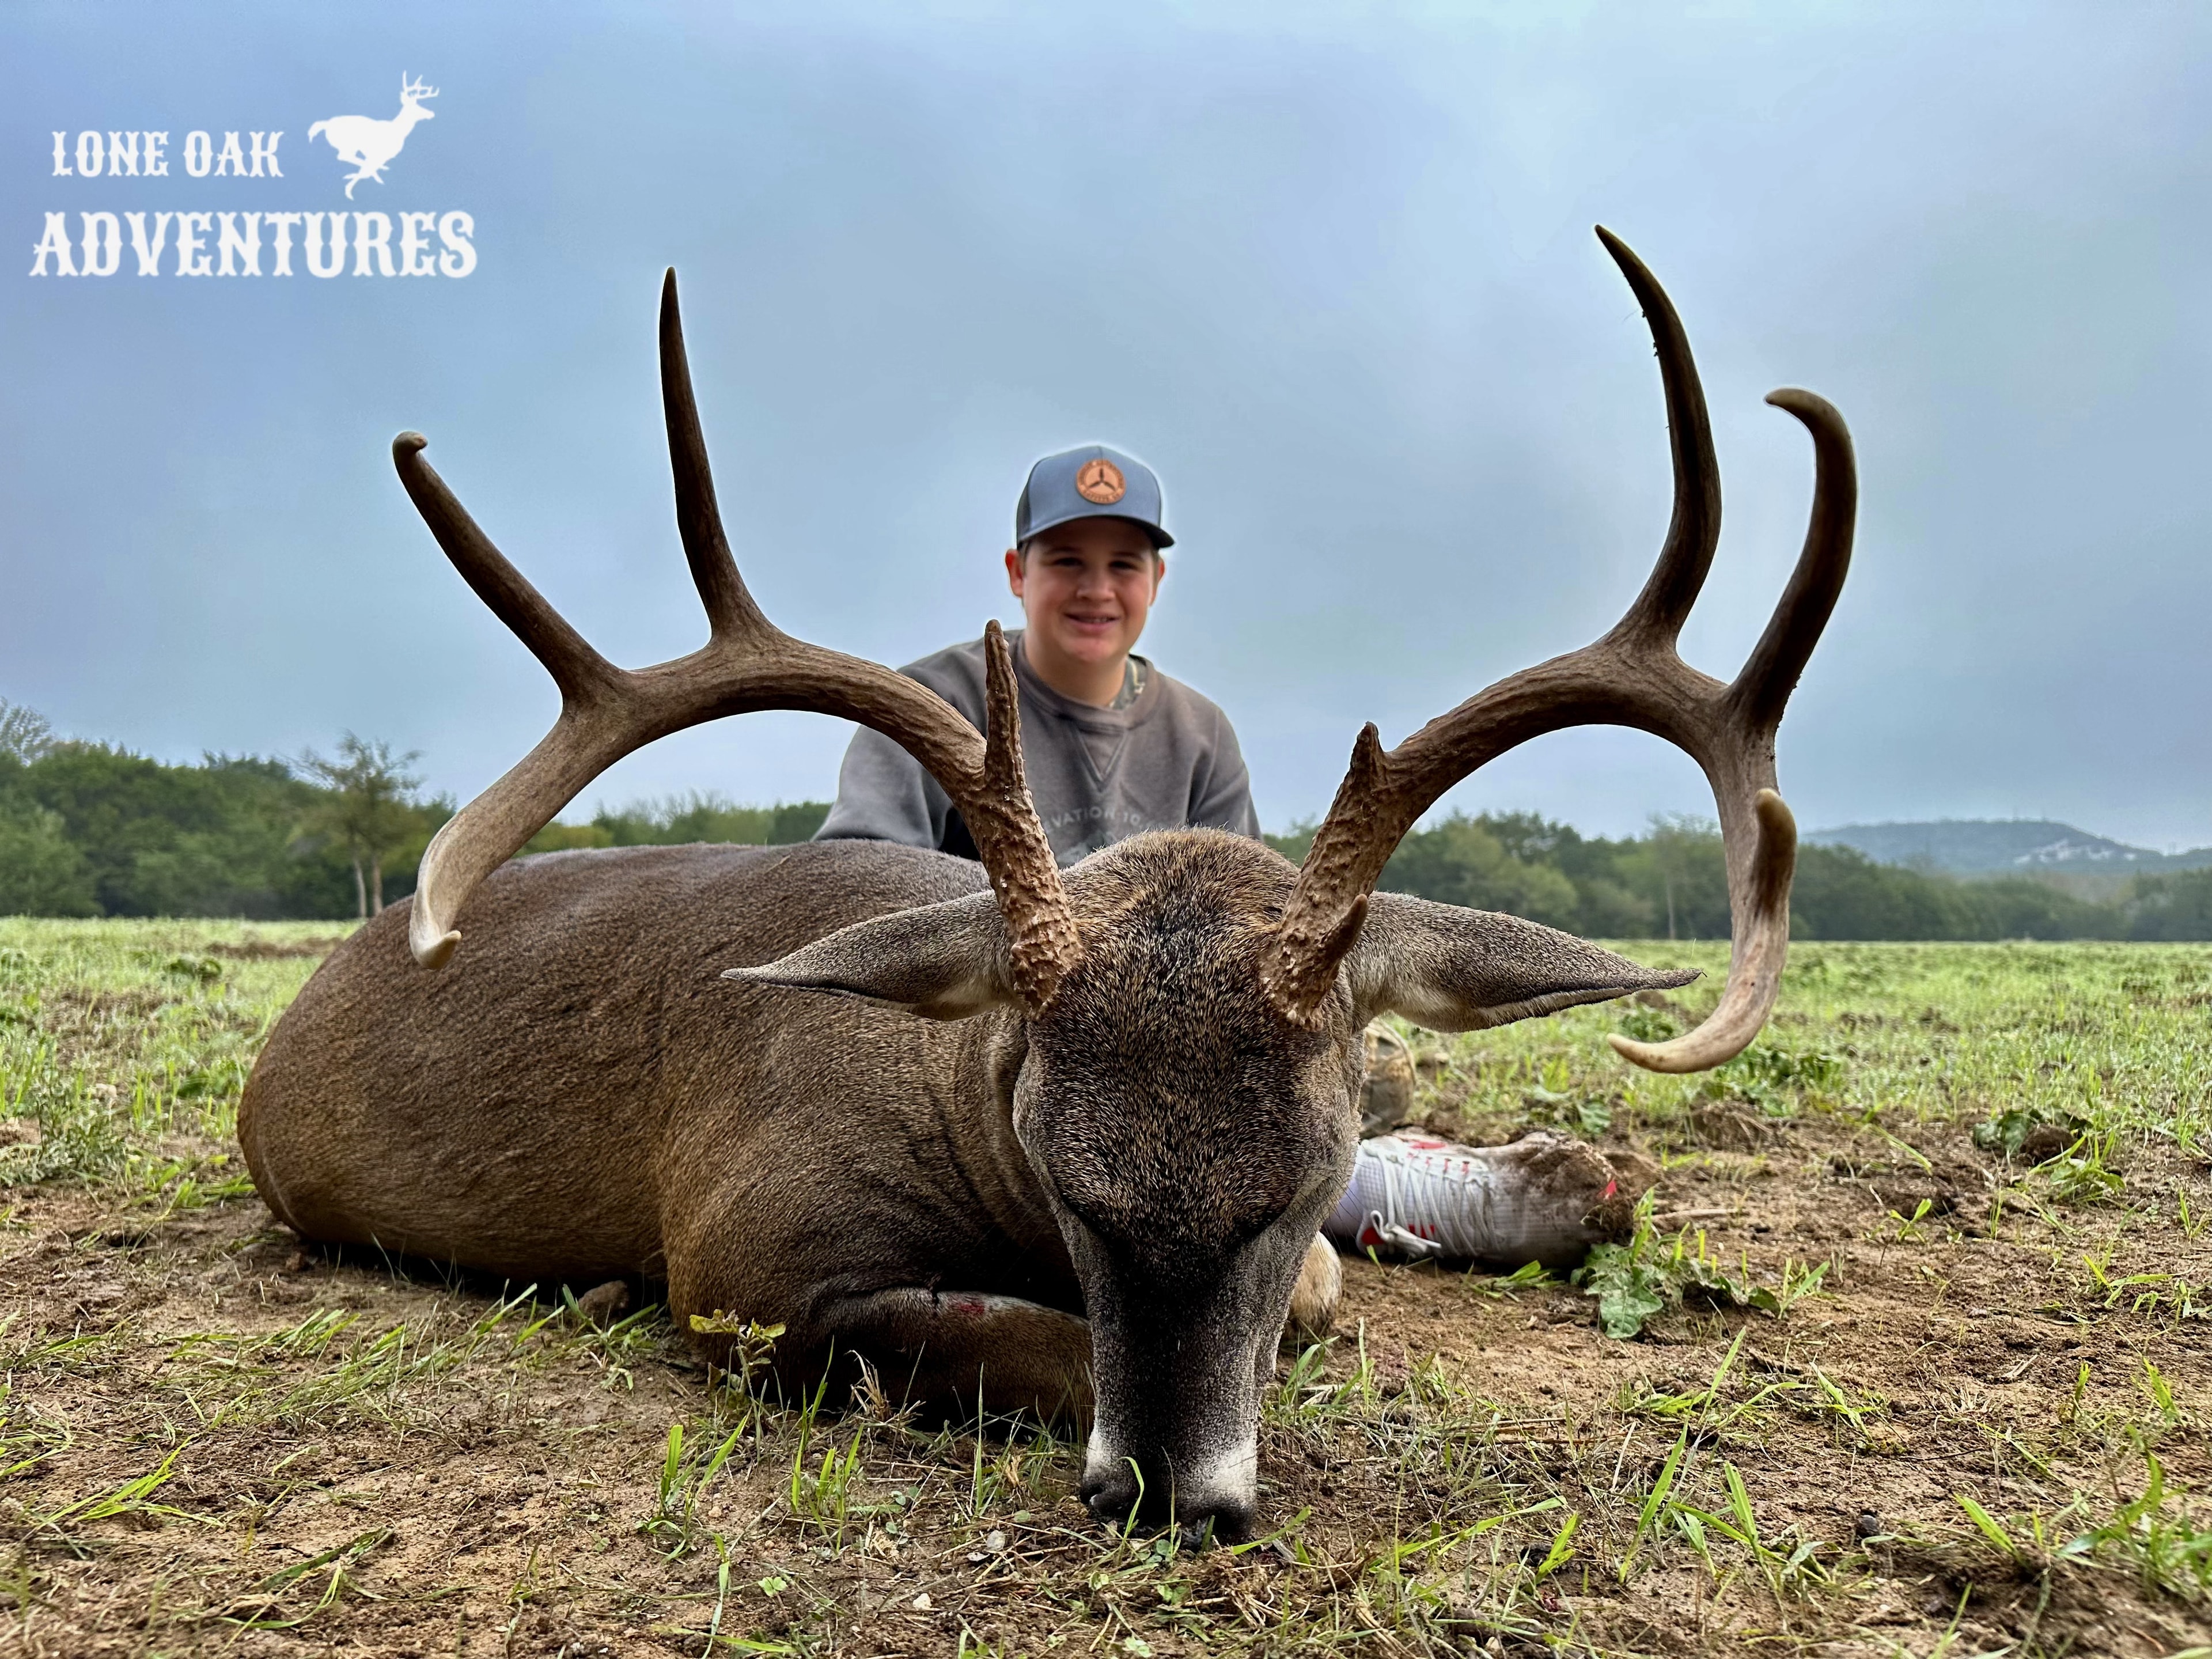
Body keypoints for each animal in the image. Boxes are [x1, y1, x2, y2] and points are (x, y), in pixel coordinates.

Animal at [237, 228, 1854, 1541]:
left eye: (1292, 1188)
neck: (955, 1087)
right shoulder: (741, 1252)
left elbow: (1312, 1304)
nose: (1166, 1497)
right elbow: (1037, 1342)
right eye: (1070, 1185)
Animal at [308, 74, 437, 199]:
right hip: (349, 146)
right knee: (344, 157)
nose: (432, 113)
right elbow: (366, 170)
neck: (397, 131)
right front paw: (349, 190)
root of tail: (327, 124)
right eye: (416, 108)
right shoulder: (377, 154)